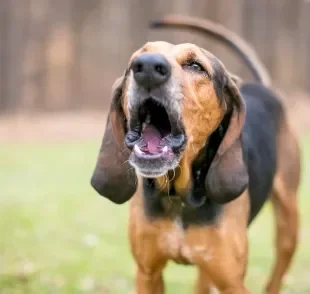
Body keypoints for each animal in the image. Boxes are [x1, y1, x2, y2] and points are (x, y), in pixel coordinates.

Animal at [90, 14, 300, 294]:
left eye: (196, 66)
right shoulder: (147, 273)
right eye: (134, 61)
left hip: (288, 223)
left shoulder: (232, 282)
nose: (146, 66)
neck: (180, 198)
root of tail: (262, 87)